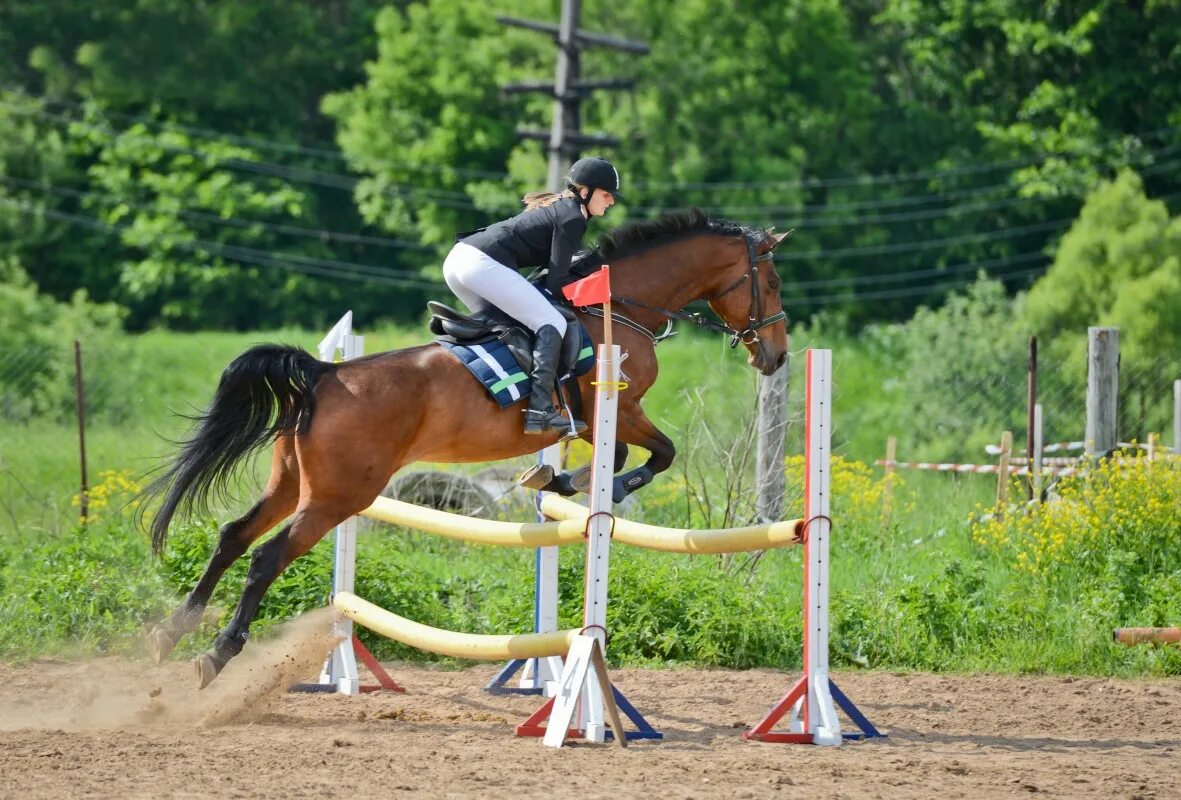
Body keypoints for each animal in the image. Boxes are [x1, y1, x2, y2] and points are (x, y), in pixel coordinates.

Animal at [140, 210, 793, 685]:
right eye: (774, 281)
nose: (777, 355)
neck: (621, 307)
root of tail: (325, 375)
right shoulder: (618, 411)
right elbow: (659, 455)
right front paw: (583, 486)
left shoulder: (593, 425)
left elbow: (621, 460)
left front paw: (556, 483)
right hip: (338, 496)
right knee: (265, 557)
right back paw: (216, 654)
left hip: (293, 481)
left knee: (233, 536)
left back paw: (170, 634)